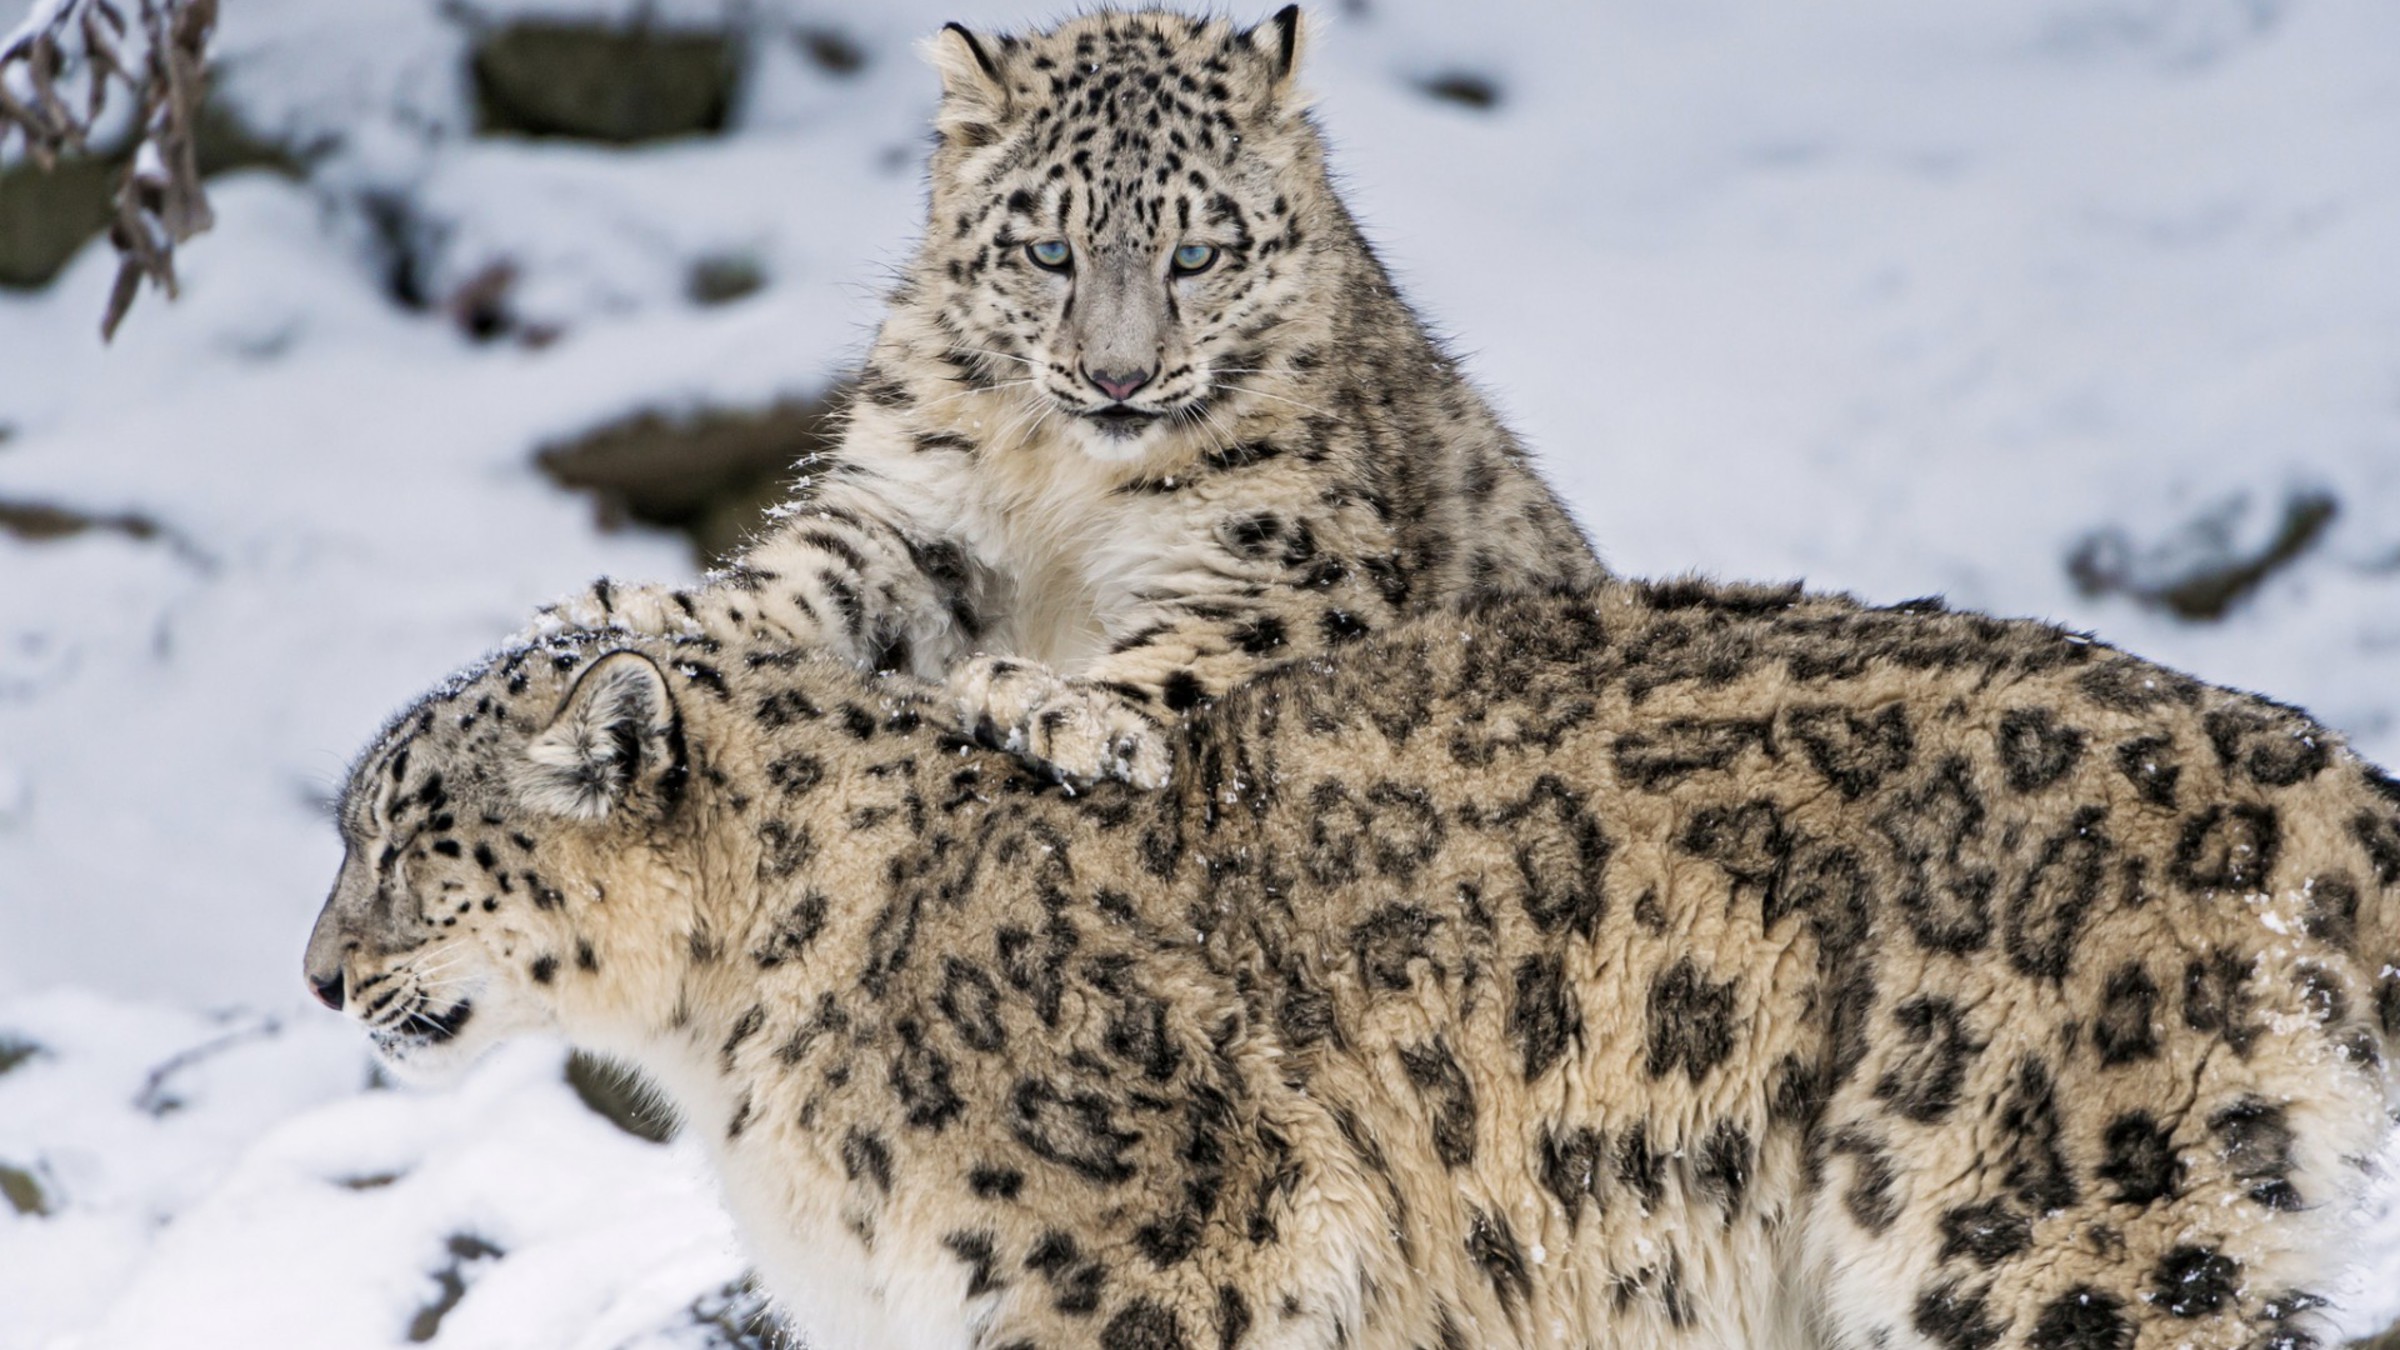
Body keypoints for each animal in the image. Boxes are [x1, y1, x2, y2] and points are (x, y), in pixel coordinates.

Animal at [535, 5, 1603, 787]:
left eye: (1195, 254)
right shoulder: (917, 515)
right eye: (1050, 251)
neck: (1063, 479)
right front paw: (638, 605)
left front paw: (1059, 706)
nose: (1117, 376)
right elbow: (811, 578)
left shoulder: (1299, 561)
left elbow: (1220, 643)